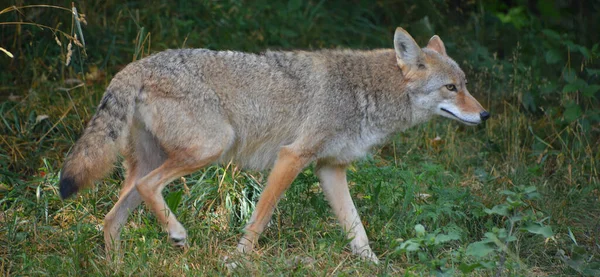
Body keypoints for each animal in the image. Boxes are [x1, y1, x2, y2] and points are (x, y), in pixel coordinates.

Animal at [58, 27, 490, 262]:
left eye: (465, 84)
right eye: (451, 88)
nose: (485, 115)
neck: (364, 93)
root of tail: (136, 65)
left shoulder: (330, 169)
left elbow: (358, 231)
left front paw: (375, 266)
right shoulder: (291, 158)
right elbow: (259, 219)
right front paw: (236, 260)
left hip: (149, 167)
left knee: (110, 219)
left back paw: (116, 265)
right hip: (208, 149)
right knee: (149, 190)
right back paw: (177, 233)